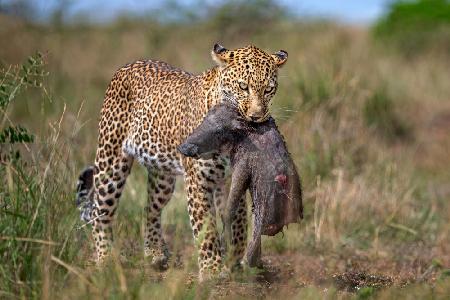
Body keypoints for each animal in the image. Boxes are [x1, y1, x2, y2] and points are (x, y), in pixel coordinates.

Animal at [74, 42, 288, 282]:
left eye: (268, 89)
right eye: (243, 87)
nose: (256, 117)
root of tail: (129, 64)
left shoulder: (231, 180)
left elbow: (238, 222)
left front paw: (234, 263)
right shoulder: (197, 181)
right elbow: (206, 228)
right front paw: (211, 270)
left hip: (163, 178)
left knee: (149, 209)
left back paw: (155, 253)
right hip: (111, 161)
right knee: (101, 210)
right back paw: (106, 258)